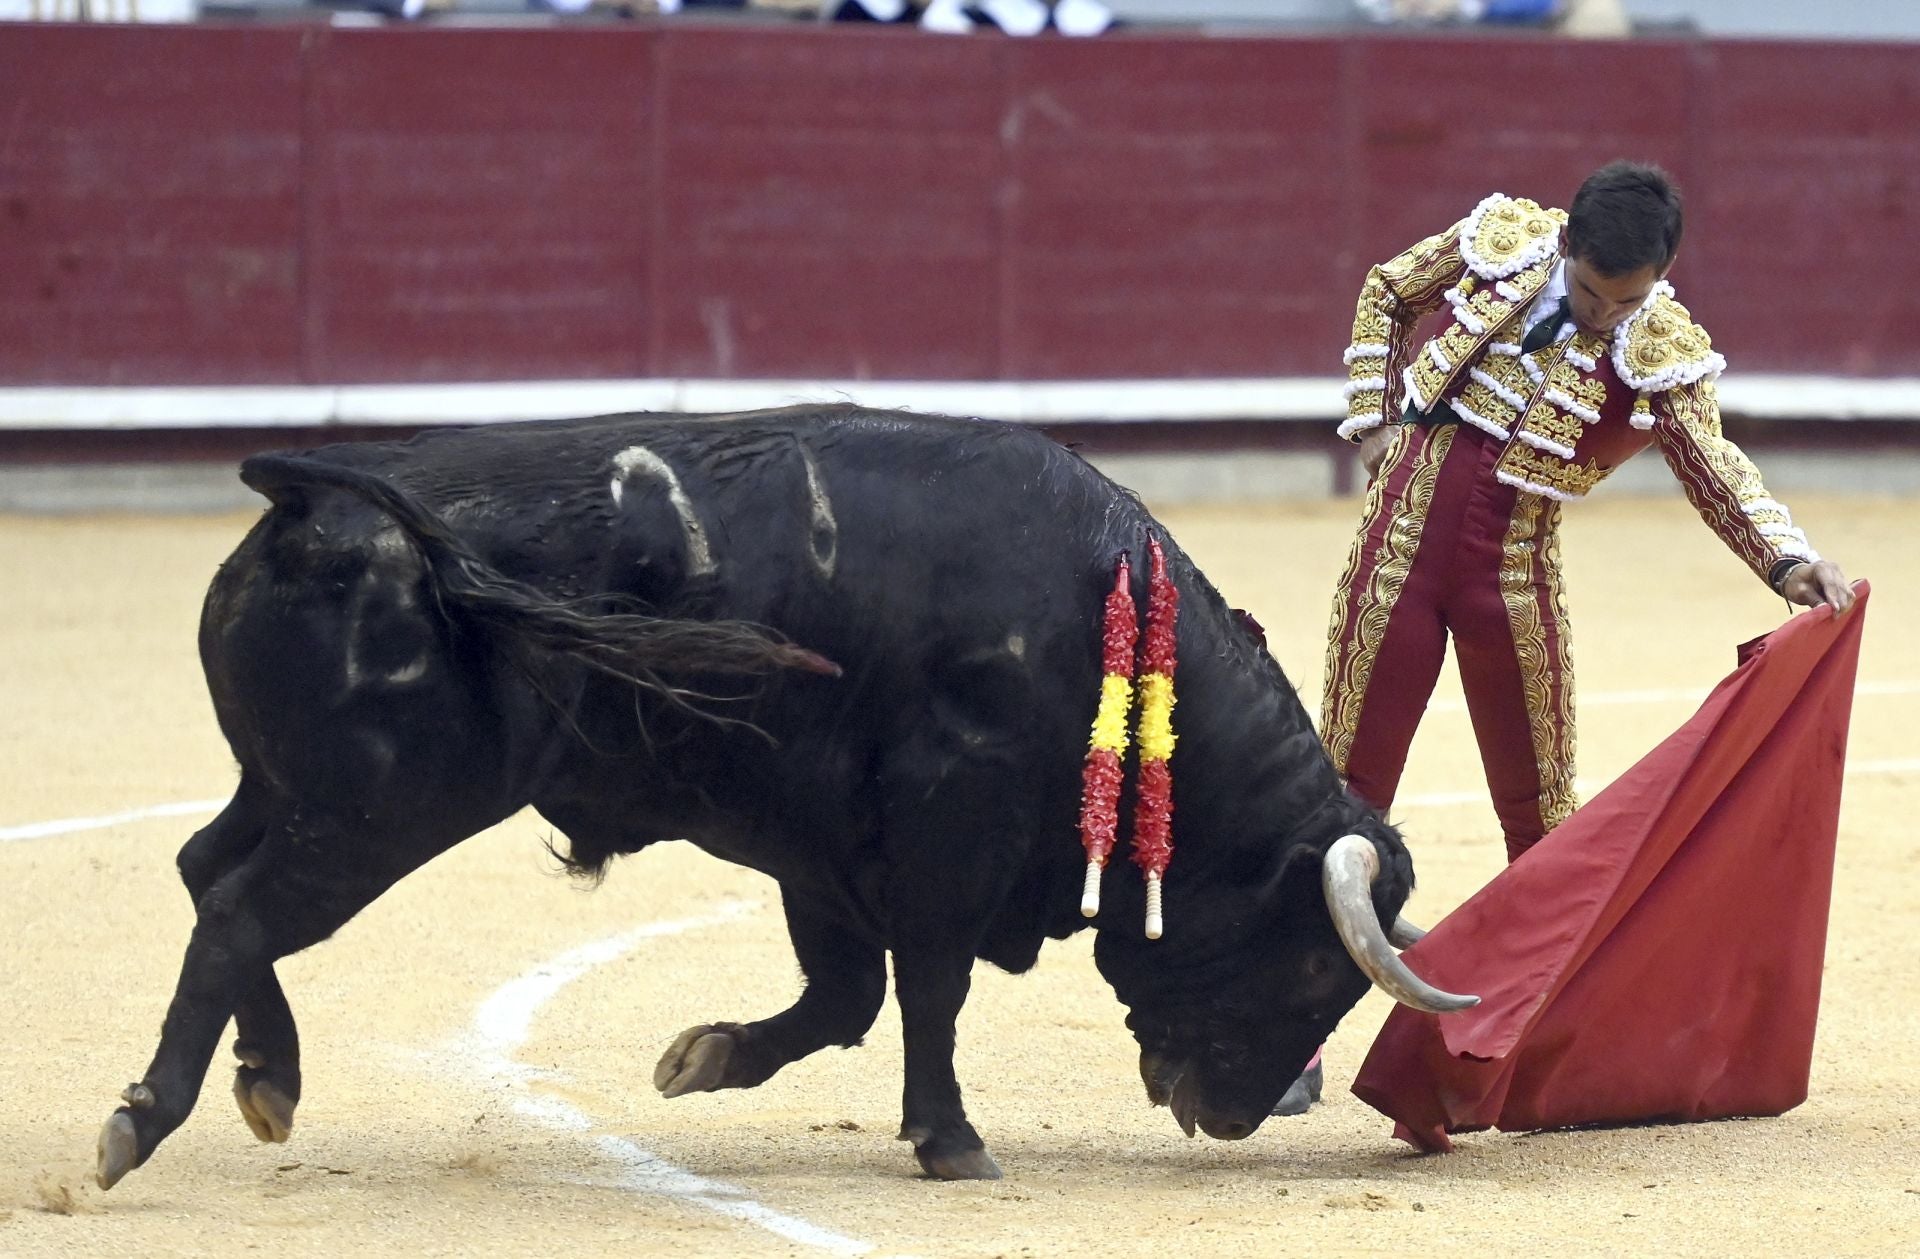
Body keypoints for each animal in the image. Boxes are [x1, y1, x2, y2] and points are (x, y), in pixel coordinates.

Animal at [90, 404, 1474, 1189]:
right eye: (1317, 965)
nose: (1235, 1115)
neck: (1097, 620)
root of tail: (317, 492)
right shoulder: (945, 835)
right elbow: (927, 988)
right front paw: (952, 1142)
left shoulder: (822, 848)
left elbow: (847, 994)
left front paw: (700, 1057)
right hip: (378, 808)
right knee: (241, 912)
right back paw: (143, 1123)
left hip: (293, 787)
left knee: (206, 874)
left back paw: (268, 1080)